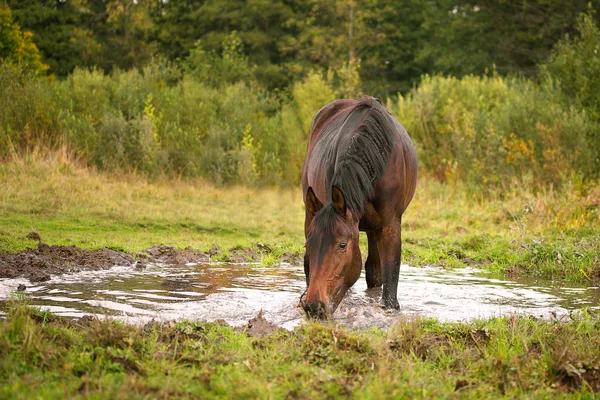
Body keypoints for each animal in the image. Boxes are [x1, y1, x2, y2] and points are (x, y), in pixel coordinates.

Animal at [298, 97, 418, 318]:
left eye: (342, 245)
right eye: (307, 244)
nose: (314, 306)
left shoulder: (390, 225)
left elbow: (389, 282)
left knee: (374, 272)